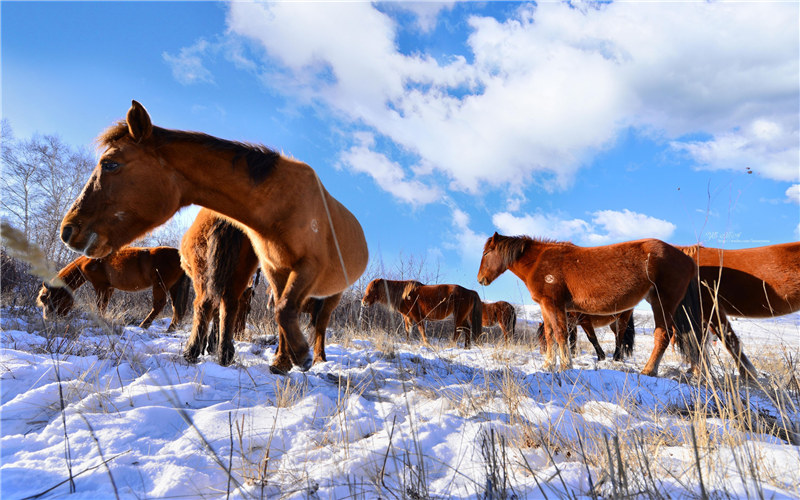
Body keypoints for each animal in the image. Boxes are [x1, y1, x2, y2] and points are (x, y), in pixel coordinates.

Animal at [37, 245, 189, 330]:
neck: (89, 262)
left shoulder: (100, 285)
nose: (47, 318)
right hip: (174, 287)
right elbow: (104, 304)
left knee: (159, 305)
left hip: (160, 285)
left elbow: (100, 305)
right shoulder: (109, 288)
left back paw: (143, 326)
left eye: (45, 298)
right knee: (177, 308)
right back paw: (170, 329)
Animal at [59, 101, 368, 374]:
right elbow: (280, 311)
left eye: (110, 163)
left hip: (328, 295)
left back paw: (314, 356)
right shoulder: (275, 272)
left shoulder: (310, 267)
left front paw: (301, 355)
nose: (68, 230)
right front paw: (285, 358)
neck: (283, 202)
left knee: (319, 324)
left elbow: (281, 310)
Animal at [476, 233, 700, 376]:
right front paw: (548, 365)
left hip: (663, 303)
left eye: (486, 253)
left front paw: (565, 366)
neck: (539, 261)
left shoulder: (555, 305)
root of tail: (688, 259)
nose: (480, 279)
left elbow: (560, 334)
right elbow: (550, 334)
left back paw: (648, 370)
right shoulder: (545, 306)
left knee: (662, 336)